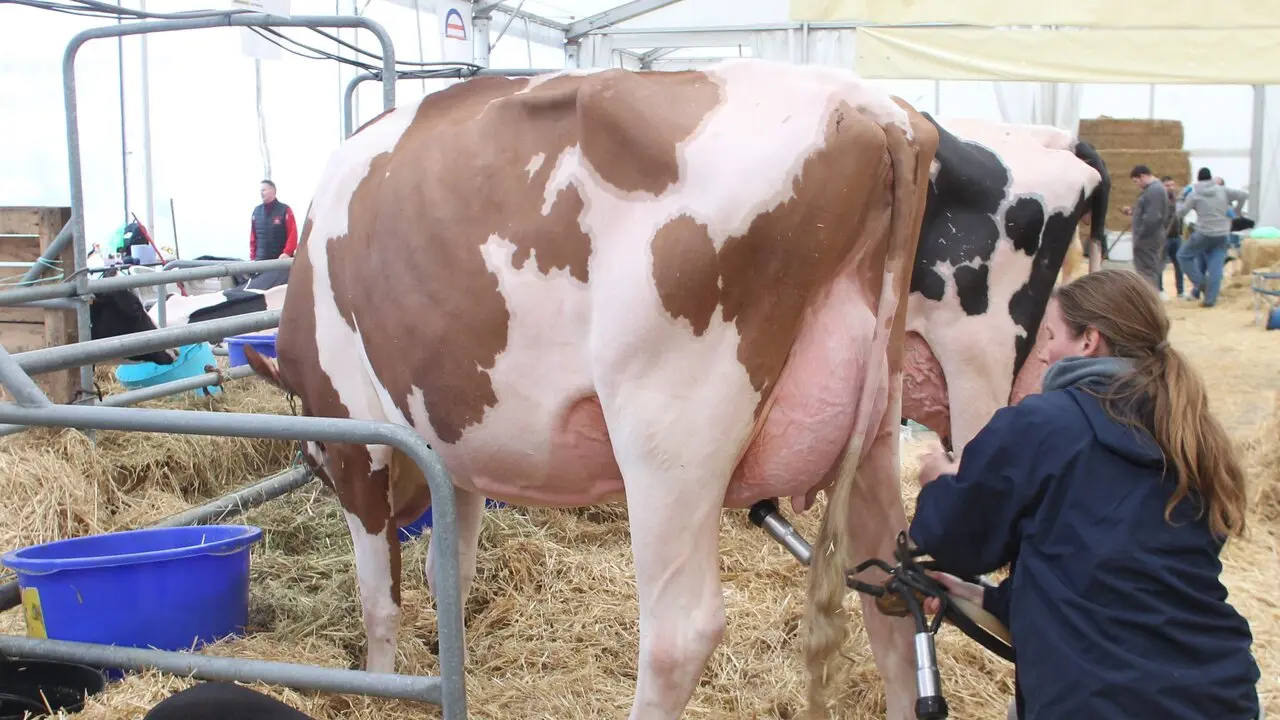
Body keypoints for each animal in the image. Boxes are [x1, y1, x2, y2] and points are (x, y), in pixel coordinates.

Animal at [245, 59, 941, 720]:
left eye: (317, 461)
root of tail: (865, 105)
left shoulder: (356, 438)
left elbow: (378, 598)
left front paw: (378, 690)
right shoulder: (455, 450)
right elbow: (449, 574)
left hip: (670, 437)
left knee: (679, 634)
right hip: (878, 427)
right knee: (893, 619)